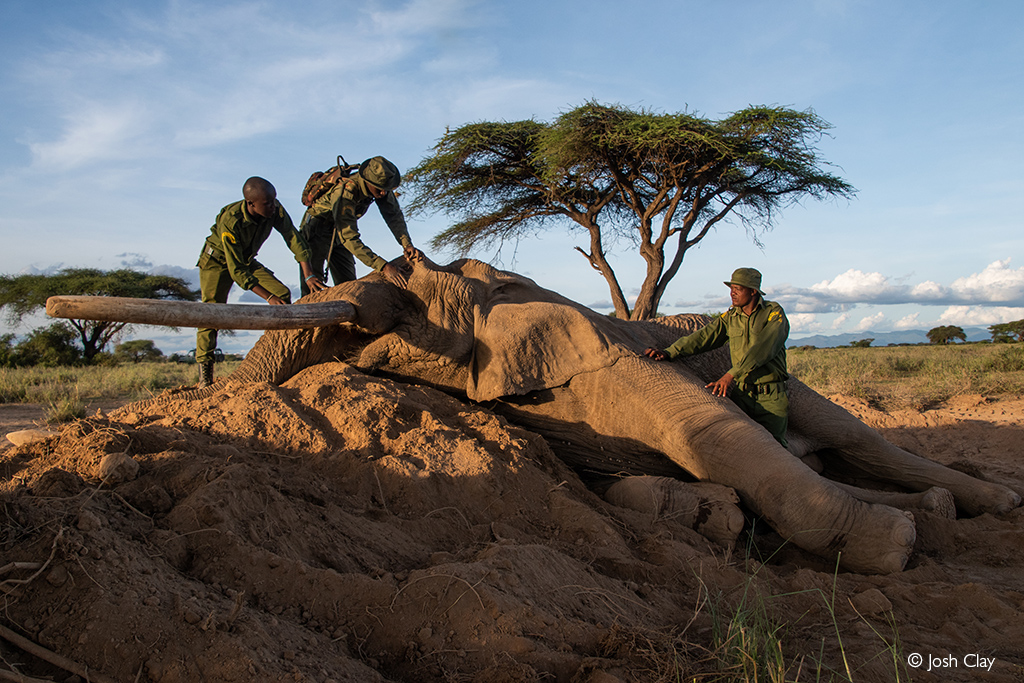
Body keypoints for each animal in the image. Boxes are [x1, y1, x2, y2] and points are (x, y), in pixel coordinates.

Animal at [58, 253, 1024, 573]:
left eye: (400, 283)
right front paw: (696, 512)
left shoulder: (606, 357)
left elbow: (721, 437)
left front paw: (893, 551)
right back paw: (934, 513)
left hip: (806, 387)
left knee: (850, 435)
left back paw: (976, 506)